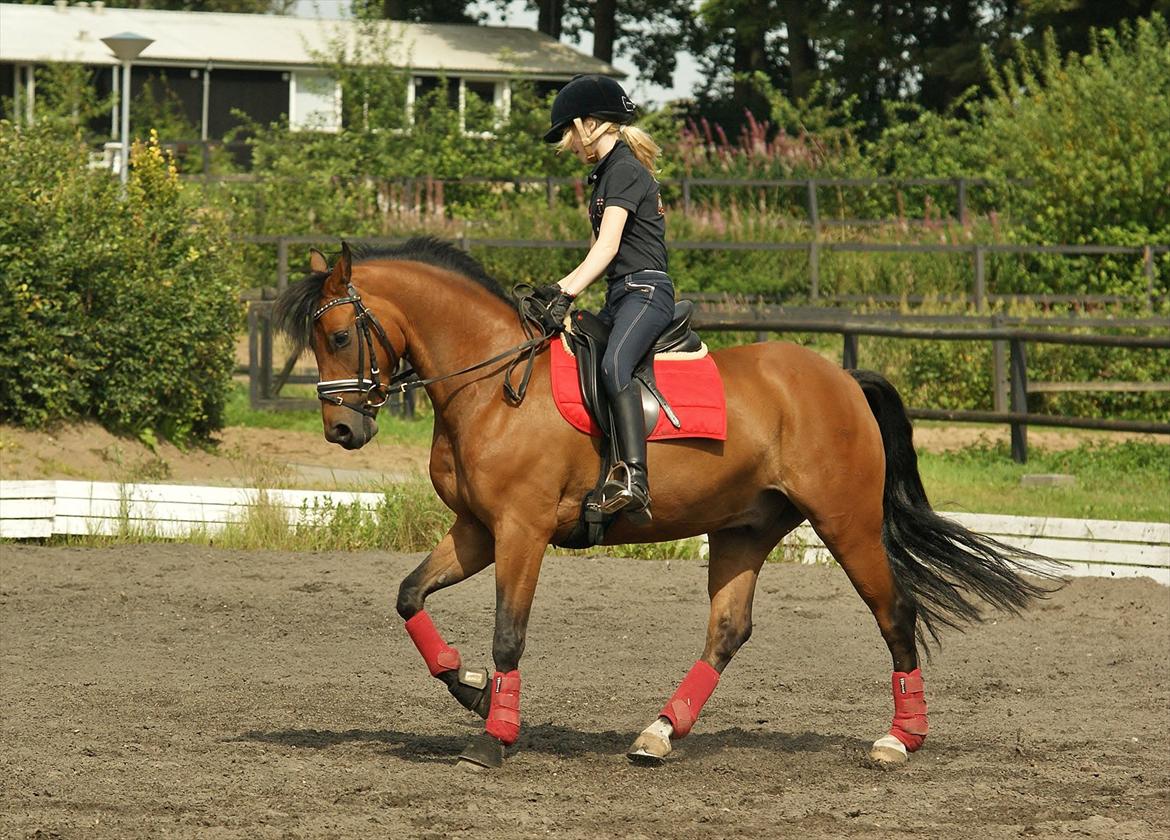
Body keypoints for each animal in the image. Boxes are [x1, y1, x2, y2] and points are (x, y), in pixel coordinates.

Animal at [273, 237, 1053, 770]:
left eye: (338, 335)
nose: (343, 432)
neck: (493, 383)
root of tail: (841, 378)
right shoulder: (476, 529)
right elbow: (409, 595)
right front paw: (469, 688)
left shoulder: (521, 531)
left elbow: (508, 634)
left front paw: (493, 737)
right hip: (745, 528)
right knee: (729, 630)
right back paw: (659, 732)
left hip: (847, 522)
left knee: (895, 612)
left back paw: (899, 739)